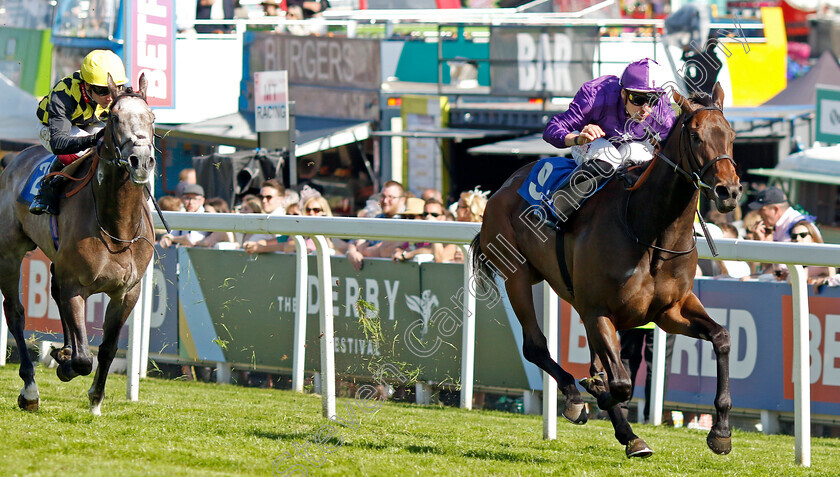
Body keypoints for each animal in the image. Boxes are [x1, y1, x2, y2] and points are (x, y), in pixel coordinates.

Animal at [0, 73, 156, 412]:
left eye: (152, 117)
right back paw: (30, 390)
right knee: (16, 313)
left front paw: (95, 400)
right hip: (10, 253)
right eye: (114, 118)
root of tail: (14, 158)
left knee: (54, 291)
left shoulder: (128, 292)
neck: (117, 227)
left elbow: (108, 348)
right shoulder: (76, 284)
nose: (140, 161)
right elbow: (86, 359)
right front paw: (67, 365)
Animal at [472, 83, 740, 456]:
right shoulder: (598, 310)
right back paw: (577, 399)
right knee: (535, 346)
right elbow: (621, 384)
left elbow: (722, 337)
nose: (729, 191)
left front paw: (721, 431)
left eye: (731, 135)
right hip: (518, 276)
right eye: (696, 136)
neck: (648, 229)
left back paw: (626, 431)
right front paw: (592, 395)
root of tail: (507, 184)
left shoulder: (670, 310)